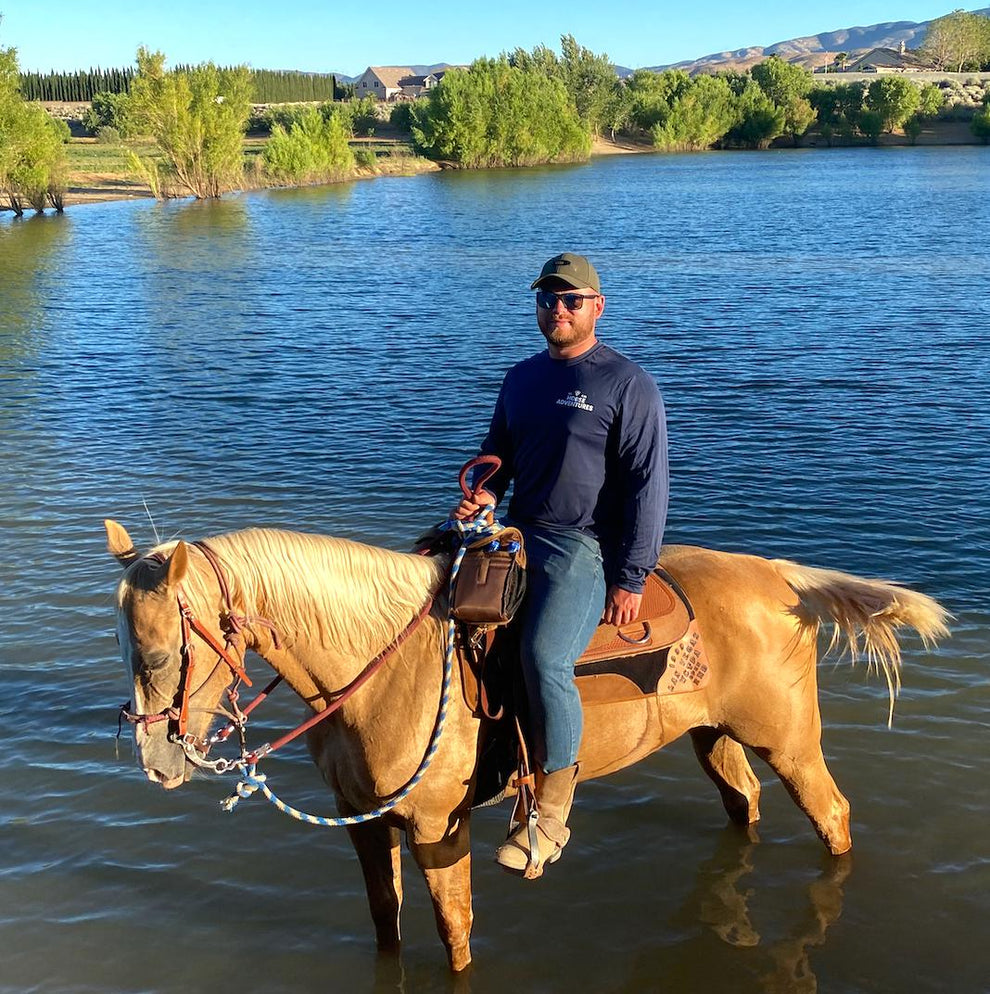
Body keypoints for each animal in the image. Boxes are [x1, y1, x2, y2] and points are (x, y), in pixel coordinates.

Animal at [104, 518, 948, 972]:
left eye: (164, 653)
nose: (157, 763)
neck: (385, 667)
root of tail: (779, 578)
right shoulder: (366, 825)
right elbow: (385, 921)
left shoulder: (437, 827)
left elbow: (454, 933)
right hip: (714, 738)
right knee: (744, 805)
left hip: (788, 740)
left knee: (833, 817)